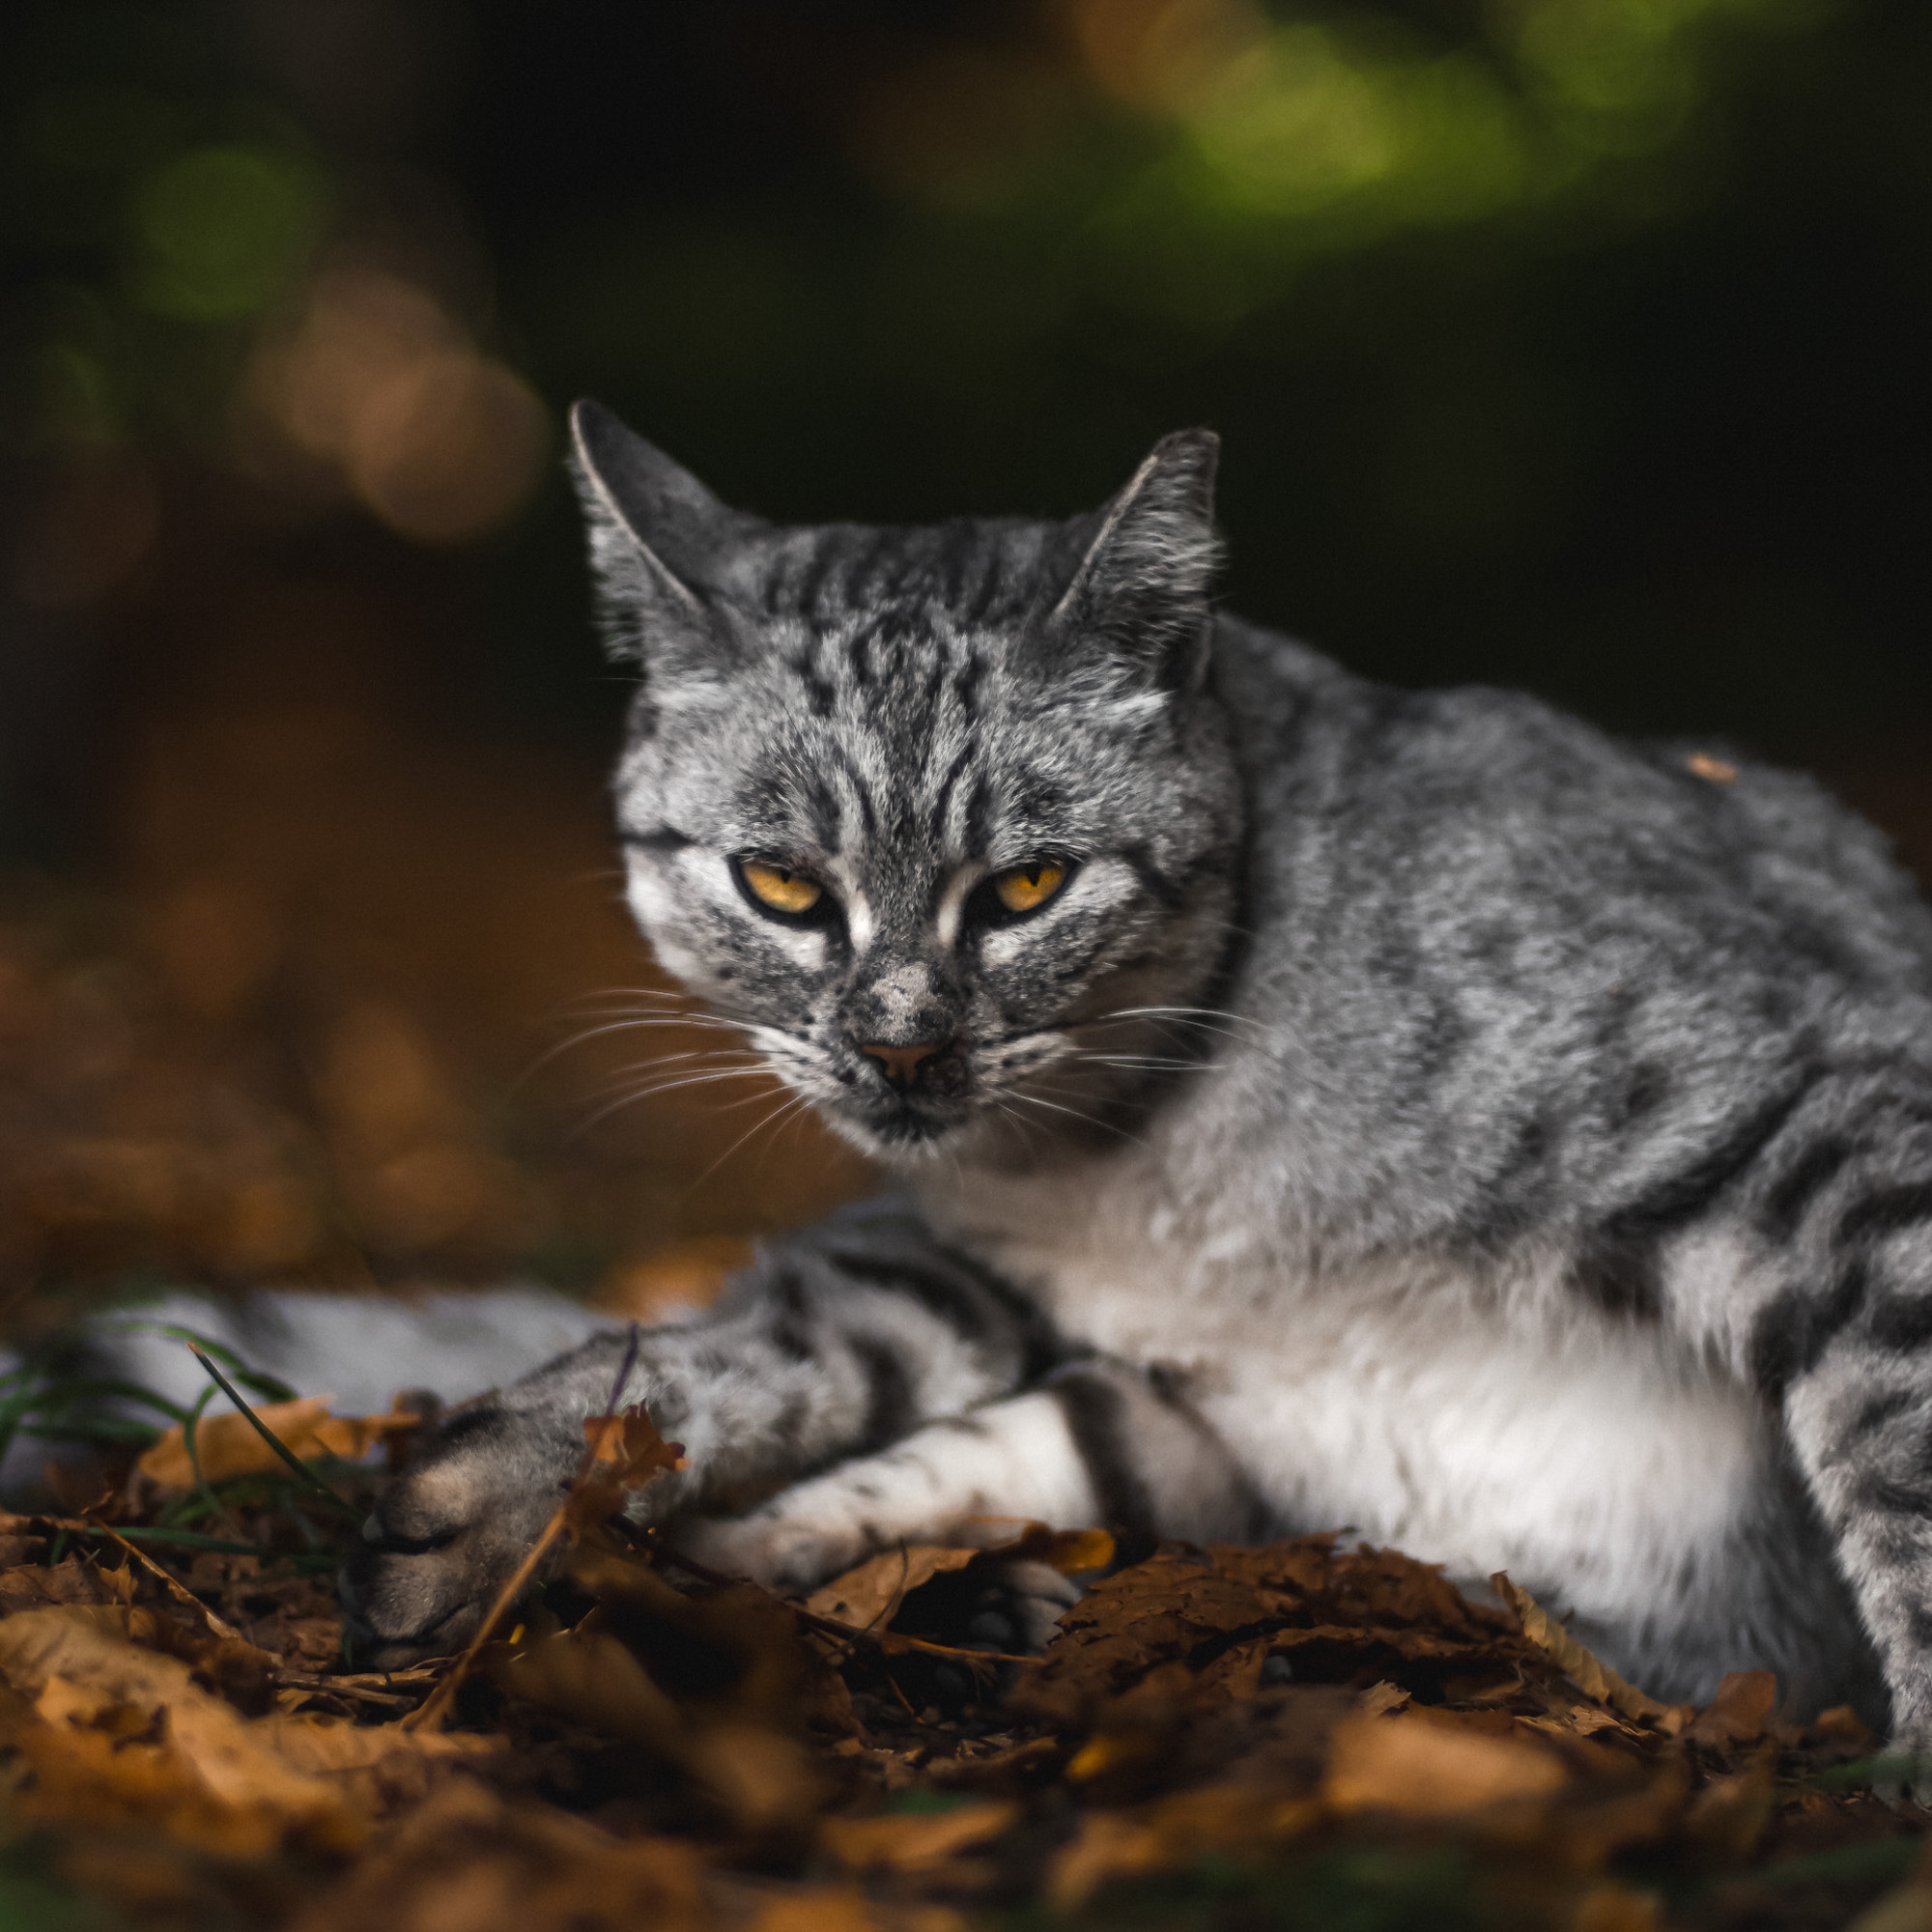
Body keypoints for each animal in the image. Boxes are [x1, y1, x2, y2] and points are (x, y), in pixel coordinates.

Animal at [336, 396, 1932, 1754]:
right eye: (782, 885)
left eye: (1028, 885)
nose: (900, 1043)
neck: (1141, 1162)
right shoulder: (972, 1270)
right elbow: (754, 1350)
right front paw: (517, 1488)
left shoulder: (1835, 1124)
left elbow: (1902, 1459)